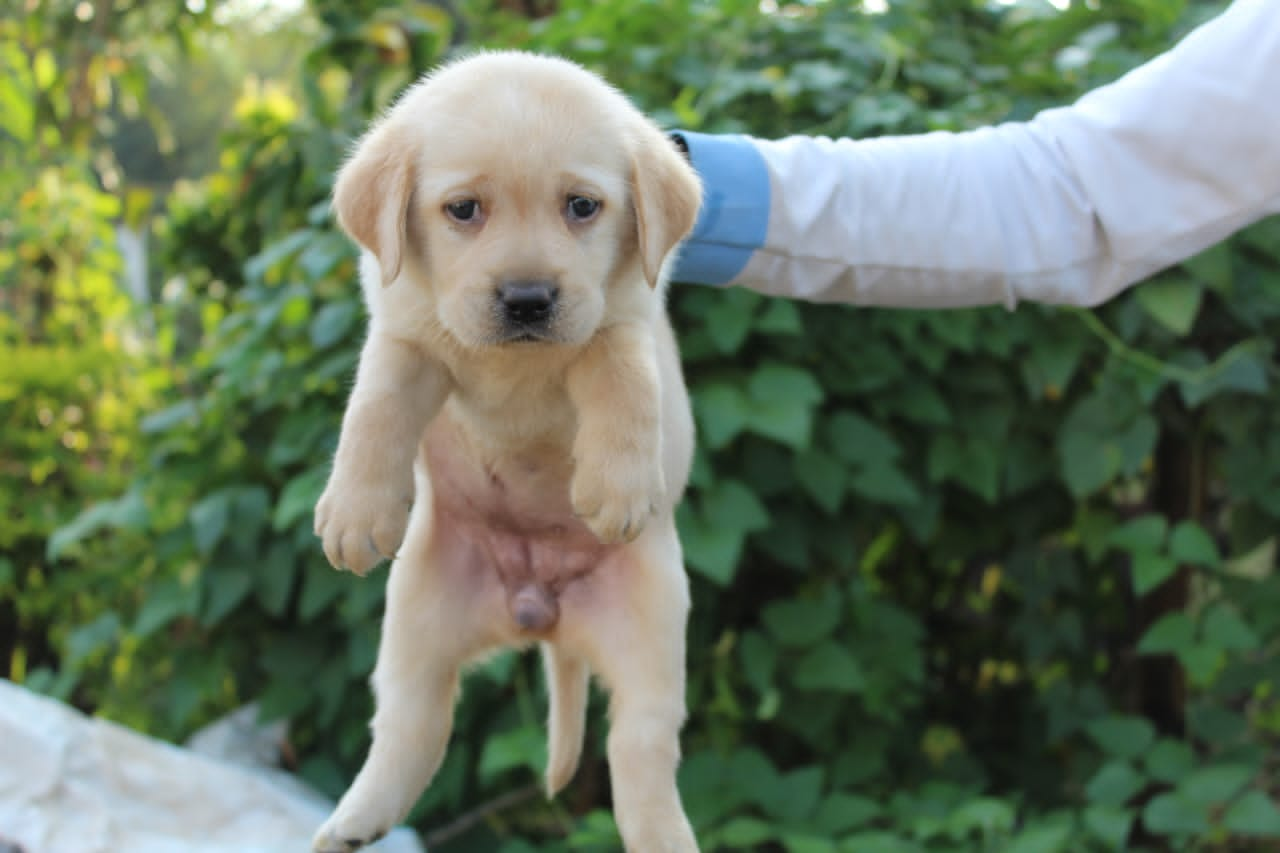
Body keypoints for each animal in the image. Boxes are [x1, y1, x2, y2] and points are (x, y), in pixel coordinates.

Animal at [311, 53, 706, 850]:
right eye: (464, 210)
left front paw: (618, 487)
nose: (528, 299)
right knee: (411, 727)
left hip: (653, 643)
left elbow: (625, 382)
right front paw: (357, 510)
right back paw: (354, 820)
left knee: (641, 755)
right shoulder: (406, 338)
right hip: (414, 629)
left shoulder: (622, 319)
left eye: (582, 207)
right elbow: (374, 408)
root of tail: (541, 612)